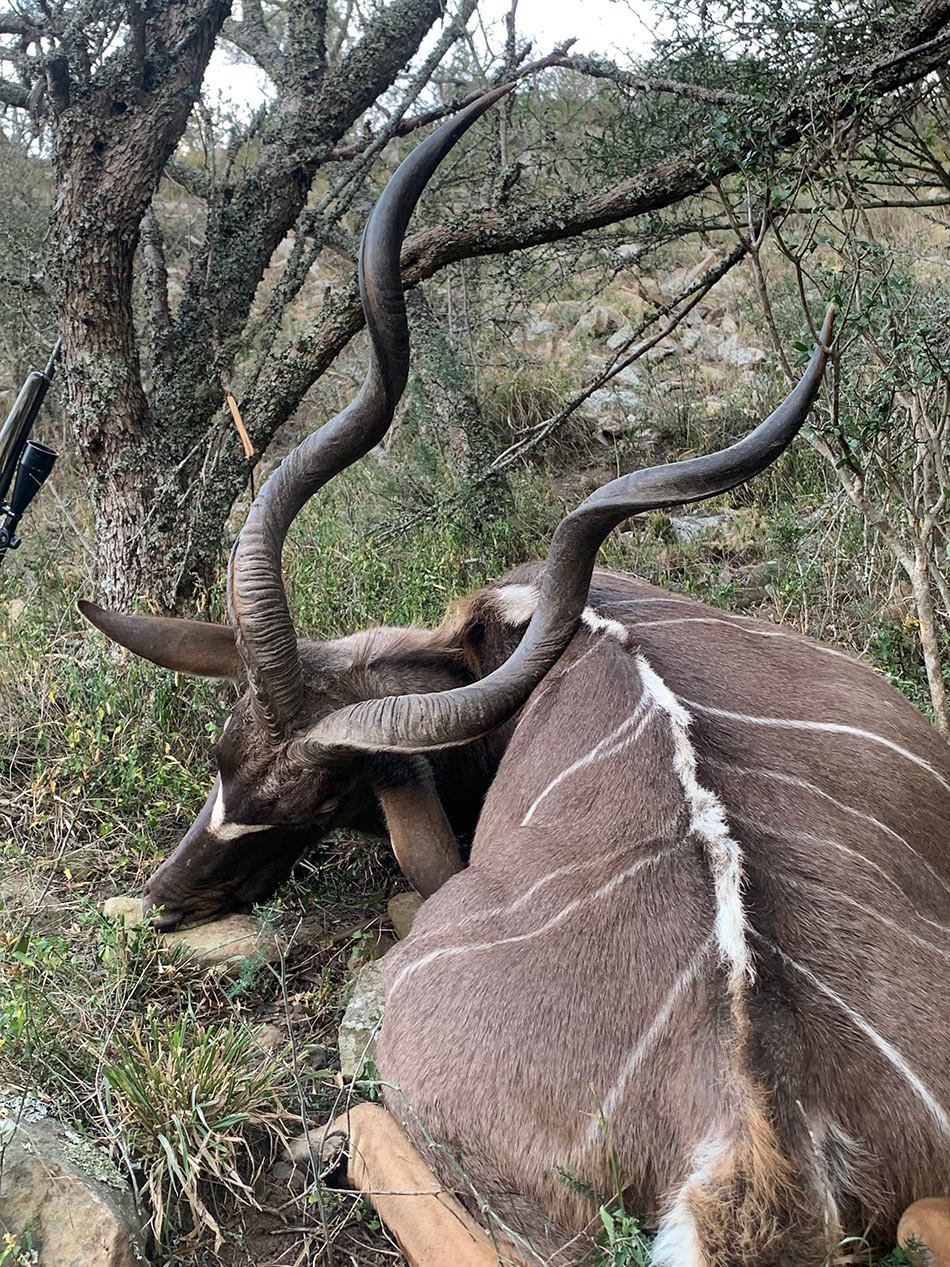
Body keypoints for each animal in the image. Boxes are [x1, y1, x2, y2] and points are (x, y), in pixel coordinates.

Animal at [83, 89, 950, 1267]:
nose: (167, 896)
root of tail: (753, 1146)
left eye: (316, 804)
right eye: (218, 757)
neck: (512, 633)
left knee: (383, 1136)